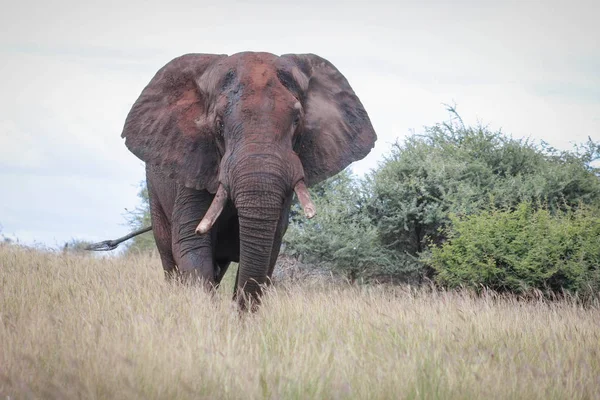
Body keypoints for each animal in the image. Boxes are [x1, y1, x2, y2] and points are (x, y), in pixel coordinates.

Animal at [115, 53, 376, 310]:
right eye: (219, 124)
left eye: (297, 120)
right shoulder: (194, 164)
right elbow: (191, 242)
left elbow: (269, 248)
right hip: (155, 191)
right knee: (169, 257)